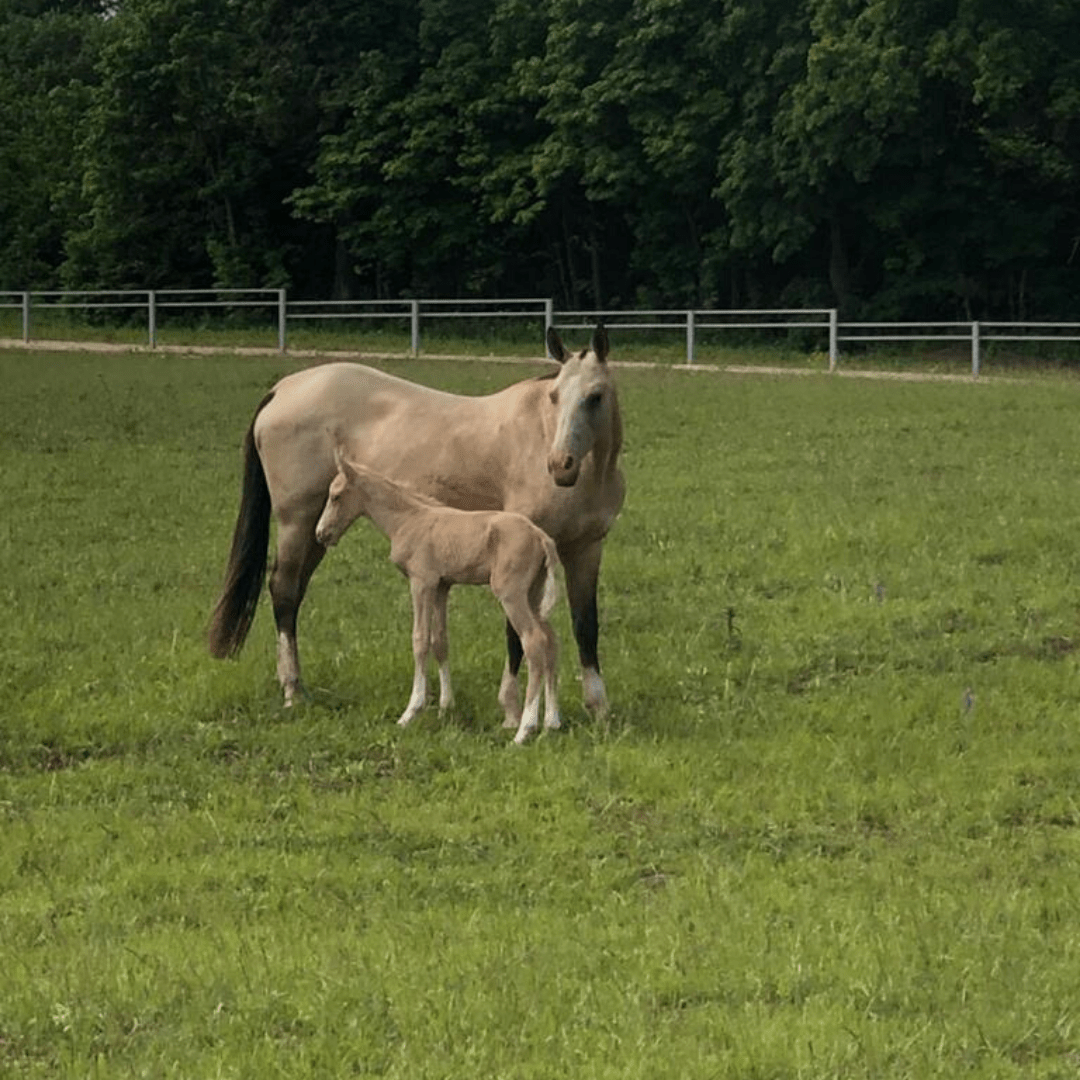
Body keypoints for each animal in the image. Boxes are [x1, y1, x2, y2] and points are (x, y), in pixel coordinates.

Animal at [315, 447, 561, 743]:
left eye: (336, 496)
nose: (320, 534)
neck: (408, 519)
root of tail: (540, 537)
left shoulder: (421, 582)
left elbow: (420, 640)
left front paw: (411, 712)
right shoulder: (442, 586)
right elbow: (440, 641)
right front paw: (446, 707)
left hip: (511, 594)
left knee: (534, 642)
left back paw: (525, 730)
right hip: (534, 594)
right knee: (551, 642)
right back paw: (551, 723)